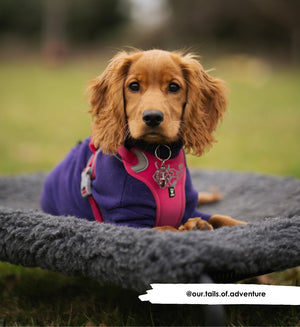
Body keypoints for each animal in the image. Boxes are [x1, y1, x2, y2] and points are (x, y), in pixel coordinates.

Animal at [39, 50, 246, 232]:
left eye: (173, 87)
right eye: (134, 86)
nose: (152, 117)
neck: (158, 152)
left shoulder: (188, 208)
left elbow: (220, 217)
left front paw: (243, 225)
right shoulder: (129, 220)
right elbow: (168, 228)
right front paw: (191, 227)